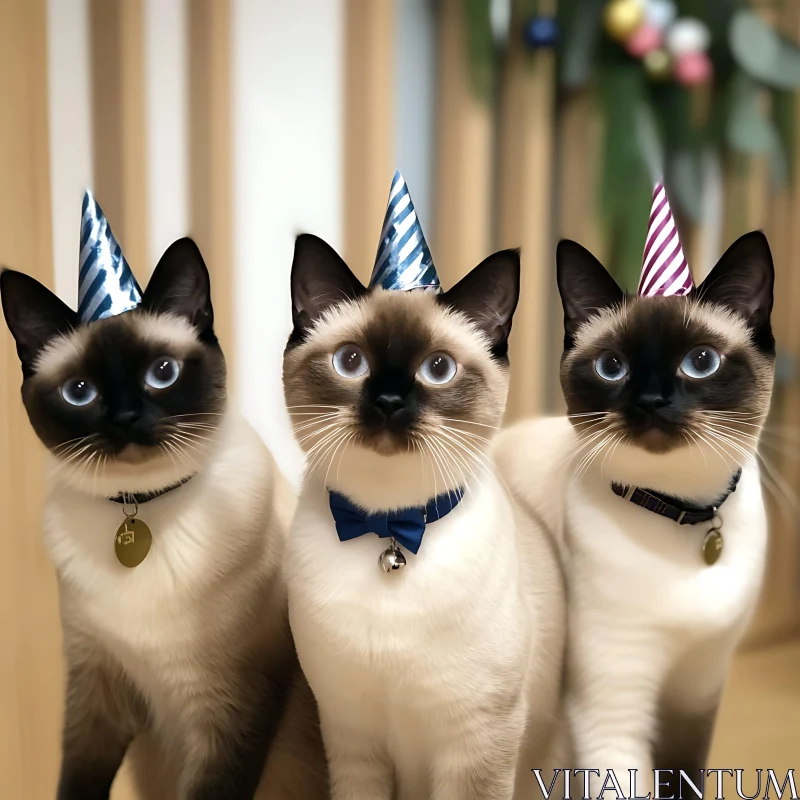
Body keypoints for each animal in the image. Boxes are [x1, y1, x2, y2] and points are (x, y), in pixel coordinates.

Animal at [284, 233, 564, 800]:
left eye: (438, 369)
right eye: (350, 362)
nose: (389, 401)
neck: (390, 531)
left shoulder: (477, 742)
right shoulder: (351, 736)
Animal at [494, 230, 776, 792]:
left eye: (701, 362)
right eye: (612, 368)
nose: (650, 401)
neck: (683, 512)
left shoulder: (699, 691)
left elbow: (689, 777)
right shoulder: (613, 709)